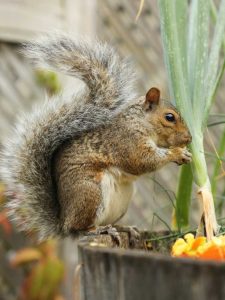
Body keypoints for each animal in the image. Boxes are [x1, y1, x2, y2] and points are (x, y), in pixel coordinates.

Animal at [0, 33, 192, 239]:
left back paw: (123, 228)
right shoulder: (126, 141)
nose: (188, 139)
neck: (140, 122)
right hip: (90, 192)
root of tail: (63, 221)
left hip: (121, 199)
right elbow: (142, 161)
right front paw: (177, 153)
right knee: (80, 228)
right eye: (169, 117)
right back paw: (98, 229)